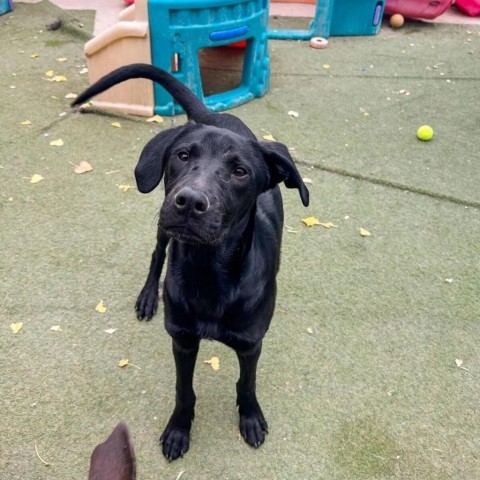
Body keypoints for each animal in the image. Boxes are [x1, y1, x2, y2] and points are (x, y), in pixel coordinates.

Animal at [73, 63, 310, 462]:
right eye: (183, 155)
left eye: (240, 171)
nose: (190, 201)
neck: (208, 269)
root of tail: (213, 114)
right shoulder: (182, 341)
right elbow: (184, 391)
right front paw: (179, 430)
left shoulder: (251, 344)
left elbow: (247, 383)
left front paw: (250, 417)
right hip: (162, 229)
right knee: (157, 254)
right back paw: (148, 297)